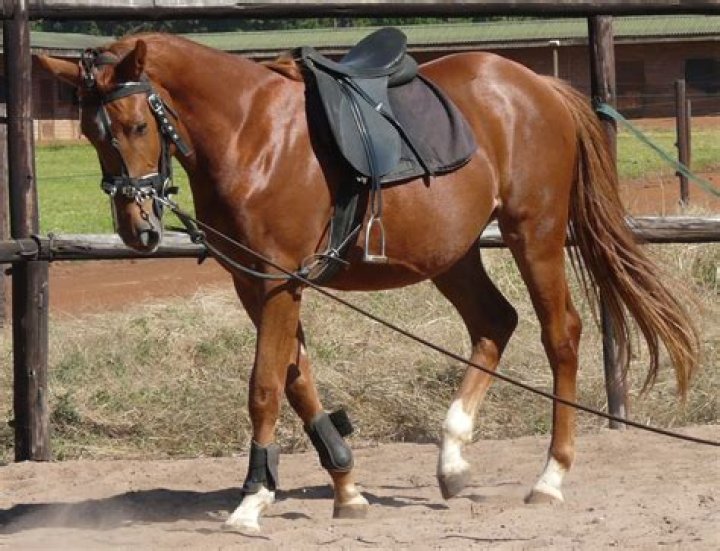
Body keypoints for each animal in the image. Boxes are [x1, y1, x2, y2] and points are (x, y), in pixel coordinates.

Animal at [37, 31, 699, 533]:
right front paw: (346, 487)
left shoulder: (277, 282)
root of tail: (539, 87)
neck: (250, 134)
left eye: (134, 125)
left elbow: (264, 387)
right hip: (451, 253)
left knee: (560, 334)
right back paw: (452, 460)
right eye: (91, 131)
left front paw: (251, 502)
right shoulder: (256, 285)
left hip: (532, 234)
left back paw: (550, 478)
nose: (137, 230)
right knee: (494, 322)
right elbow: (298, 379)